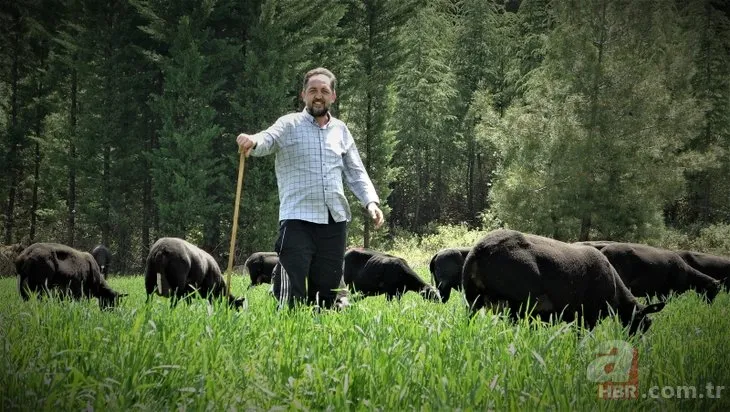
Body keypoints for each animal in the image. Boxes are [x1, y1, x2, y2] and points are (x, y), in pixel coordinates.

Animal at [464, 229, 664, 334]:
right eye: (645, 324)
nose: (636, 342)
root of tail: (480, 250)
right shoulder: (588, 317)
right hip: (517, 304)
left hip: (473, 299)